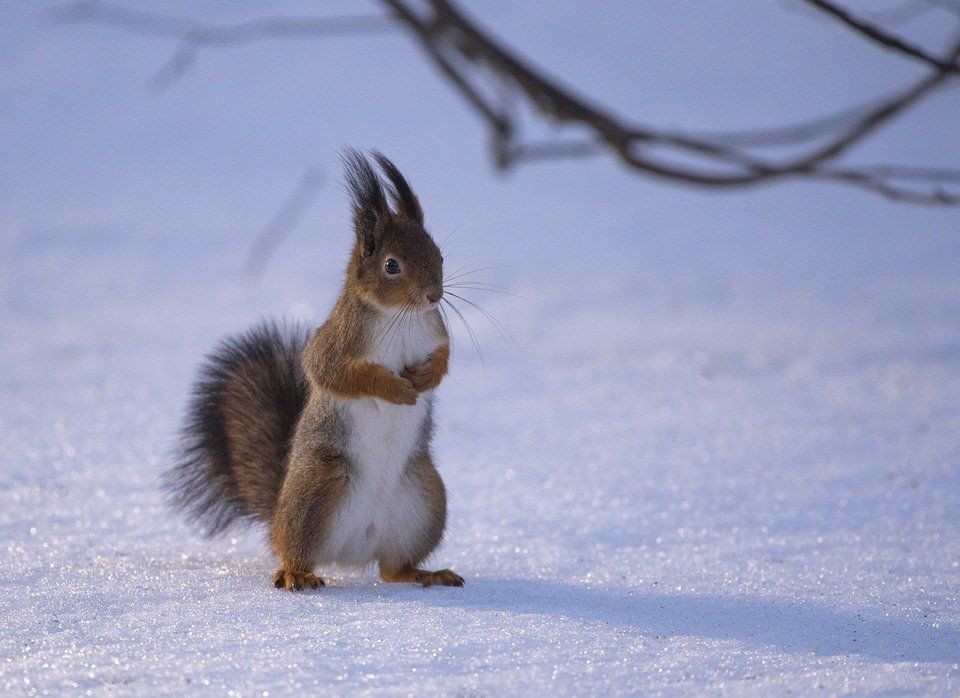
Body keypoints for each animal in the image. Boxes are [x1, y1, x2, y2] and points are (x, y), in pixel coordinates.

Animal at [163, 150, 464, 588]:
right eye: (392, 265)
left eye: (438, 254)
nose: (433, 294)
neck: (401, 316)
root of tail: (355, 549)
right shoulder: (336, 342)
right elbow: (334, 373)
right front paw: (392, 388)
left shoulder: (434, 331)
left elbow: (443, 359)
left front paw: (426, 377)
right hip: (319, 488)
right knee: (295, 550)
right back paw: (296, 575)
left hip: (424, 500)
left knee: (393, 569)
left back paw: (426, 573)